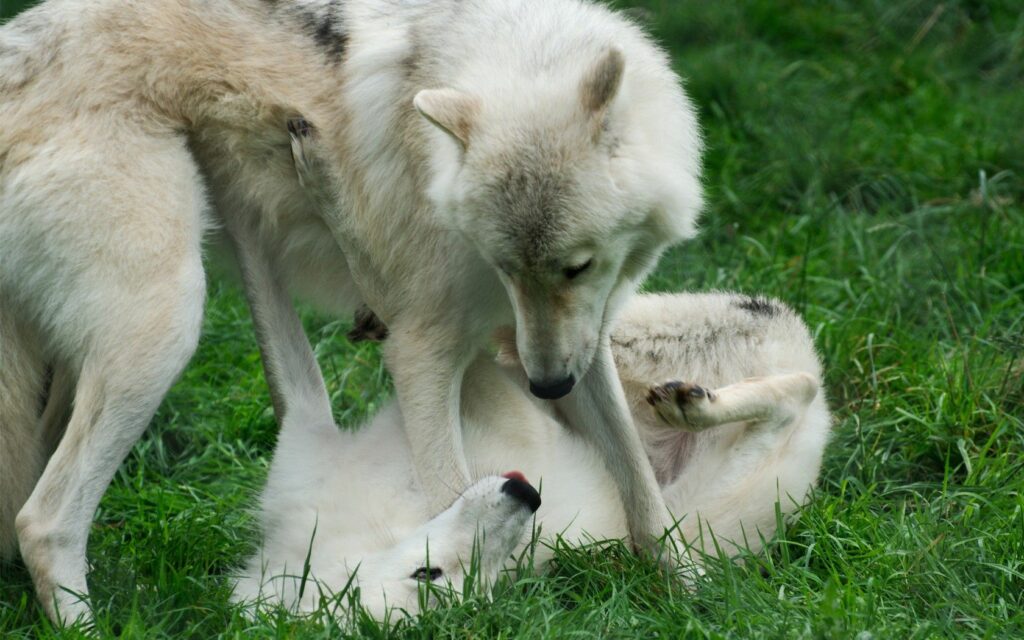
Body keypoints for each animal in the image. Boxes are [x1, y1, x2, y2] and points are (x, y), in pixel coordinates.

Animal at [0, 0, 702, 622]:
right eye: (505, 265)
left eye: (576, 268)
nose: (548, 387)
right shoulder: (423, 353)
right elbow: (449, 489)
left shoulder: (578, 342)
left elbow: (638, 481)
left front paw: (687, 588)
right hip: (166, 329)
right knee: (44, 520)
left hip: (65, 375)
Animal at [227, 219, 830, 621]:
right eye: (431, 575)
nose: (527, 494)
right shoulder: (306, 428)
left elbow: (263, 272)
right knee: (795, 393)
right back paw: (694, 404)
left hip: (619, 334)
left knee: (794, 385)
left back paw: (693, 401)